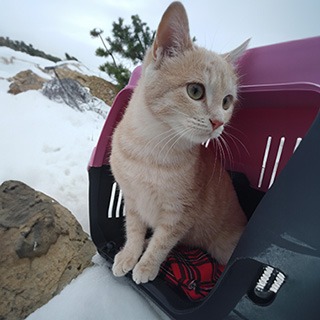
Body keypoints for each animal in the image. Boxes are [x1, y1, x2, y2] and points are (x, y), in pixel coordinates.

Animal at [111, 1, 249, 284]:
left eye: (227, 101)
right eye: (195, 91)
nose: (218, 122)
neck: (149, 150)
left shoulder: (180, 215)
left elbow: (162, 243)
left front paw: (146, 265)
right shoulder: (131, 199)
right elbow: (133, 230)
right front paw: (130, 254)